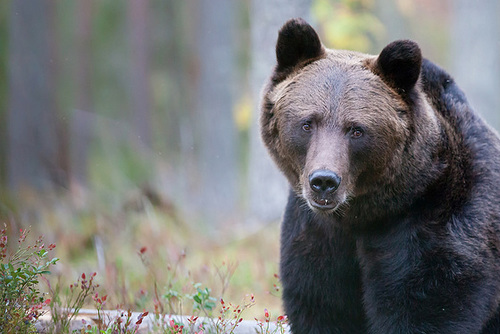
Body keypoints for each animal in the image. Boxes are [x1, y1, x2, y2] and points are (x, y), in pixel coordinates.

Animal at [260, 18, 500, 334]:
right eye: (307, 123)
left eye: (356, 130)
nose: (324, 182)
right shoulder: (317, 235)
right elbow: (322, 305)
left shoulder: (439, 227)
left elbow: (426, 307)